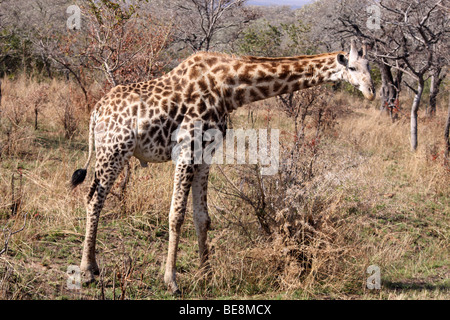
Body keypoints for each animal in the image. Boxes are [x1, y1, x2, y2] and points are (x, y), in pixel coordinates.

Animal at [71, 38, 376, 294]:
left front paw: (206, 274)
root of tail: (96, 110)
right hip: (114, 150)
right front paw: (171, 280)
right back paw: (86, 271)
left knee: (93, 197)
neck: (229, 88)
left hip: (113, 152)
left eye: (370, 67)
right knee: (94, 199)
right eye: (351, 66)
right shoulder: (186, 149)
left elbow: (202, 217)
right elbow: (176, 216)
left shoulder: (206, 154)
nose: (371, 93)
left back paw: (93, 267)